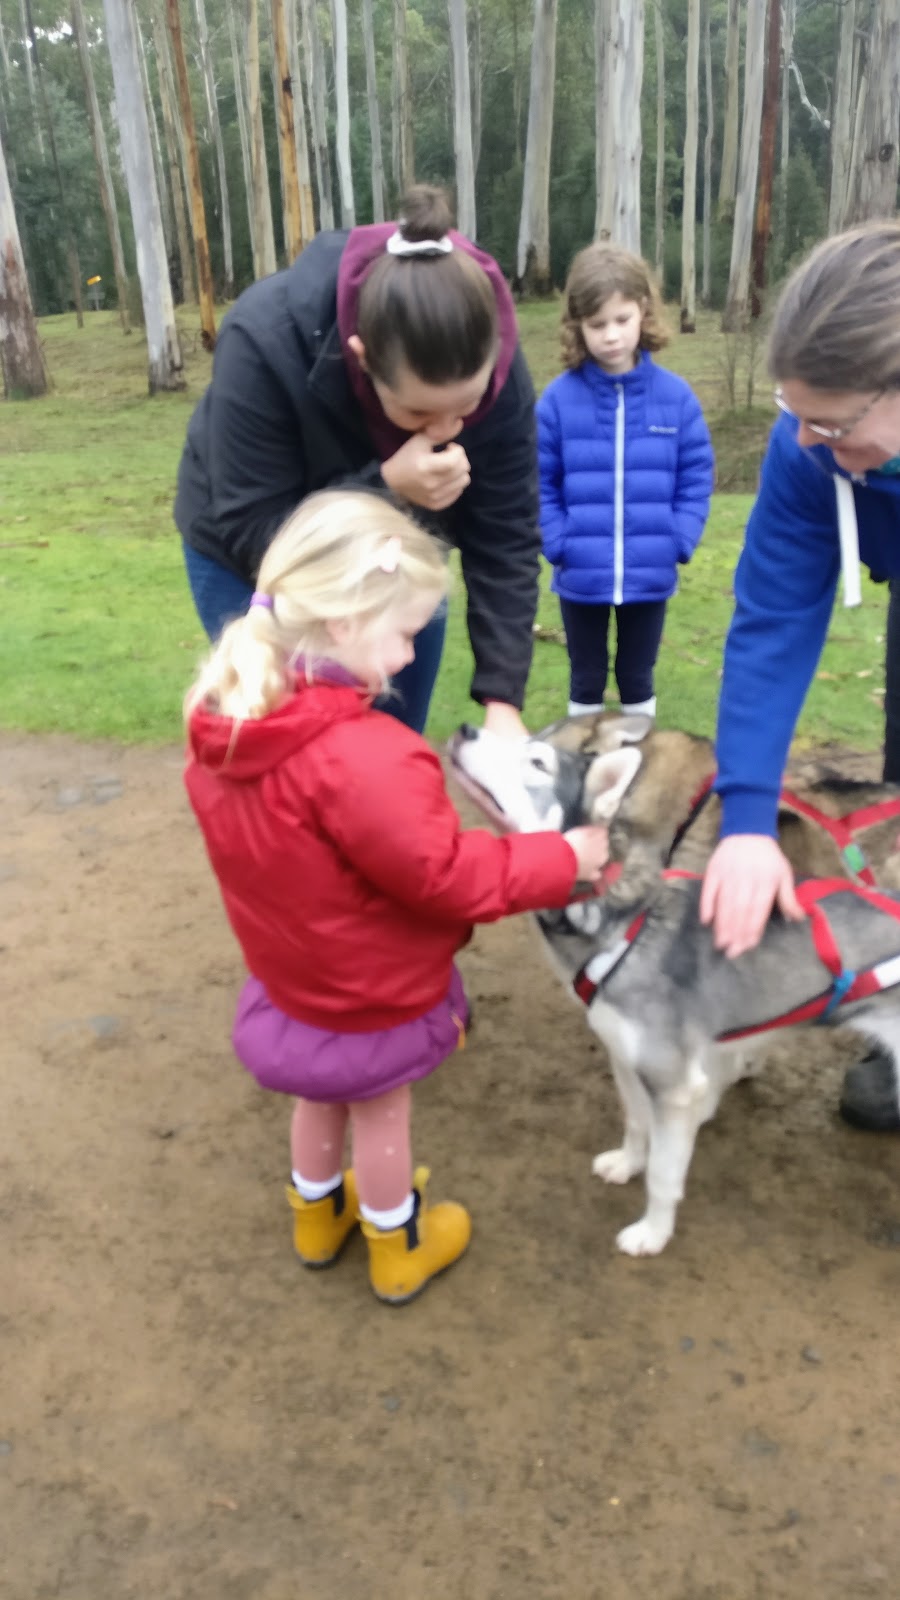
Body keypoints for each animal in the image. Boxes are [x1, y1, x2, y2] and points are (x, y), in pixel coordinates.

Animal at [448, 720, 900, 1254]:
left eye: (538, 761)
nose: (466, 727)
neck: (622, 918)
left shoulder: (674, 1083)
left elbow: (664, 1173)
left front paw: (653, 1232)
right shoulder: (625, 1058)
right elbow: (635, 1123)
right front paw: (628, 1162)